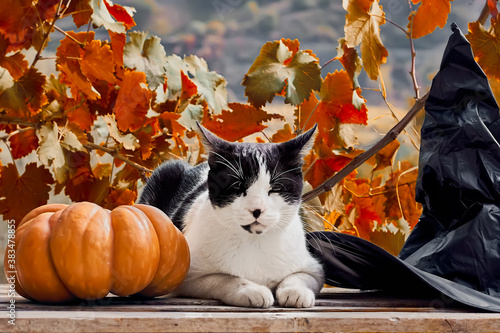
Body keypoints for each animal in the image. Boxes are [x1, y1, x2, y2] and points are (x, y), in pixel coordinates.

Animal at [138, 122, 324, 306]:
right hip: (168, 169)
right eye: (238, 187)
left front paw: (295, 292)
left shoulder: (314, 268)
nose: (257, 210)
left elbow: (299, 276)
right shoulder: (184, 276)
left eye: (276, 188)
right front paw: (252, 290)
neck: (254, 242)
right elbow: (225, 278)